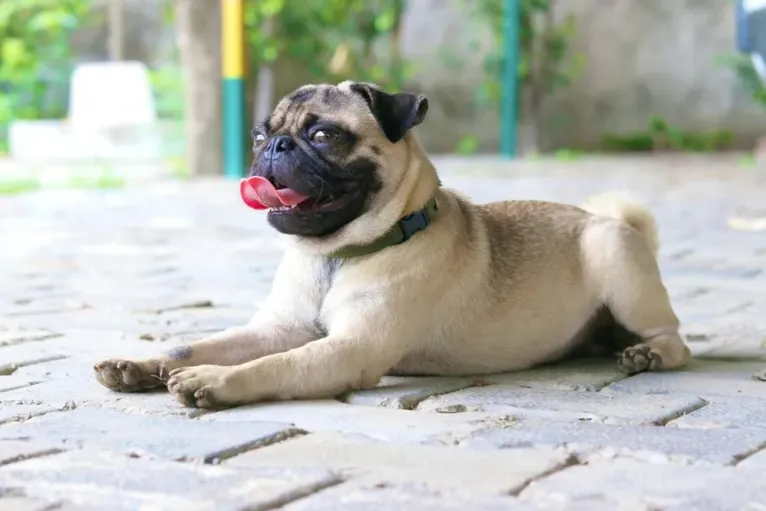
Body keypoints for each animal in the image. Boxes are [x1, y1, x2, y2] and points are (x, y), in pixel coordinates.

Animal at [93, 84, 692, 412]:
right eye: (261, 136)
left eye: (325, 136)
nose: (275, 147)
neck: (334, 255)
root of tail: (603, 218)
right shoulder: (276, 329)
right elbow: (192, 346)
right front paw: (142, 364)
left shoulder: (350, 348)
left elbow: (279, 364)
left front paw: (216, 381)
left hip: (618, 262)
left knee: (676, 339)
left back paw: (647, 354)